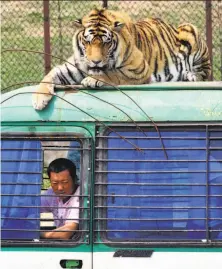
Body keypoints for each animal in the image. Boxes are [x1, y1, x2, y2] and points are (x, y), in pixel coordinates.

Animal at [32, 8, 211, 110]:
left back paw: (191, 76)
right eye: (88, 41)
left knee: (205, 72)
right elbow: (49, 75)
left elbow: (113, 73)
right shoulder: (71, 67)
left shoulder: (138, 69)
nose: (95, 61)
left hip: (191, 31)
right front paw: (39, 99)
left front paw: (92, 79)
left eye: (106, 42)